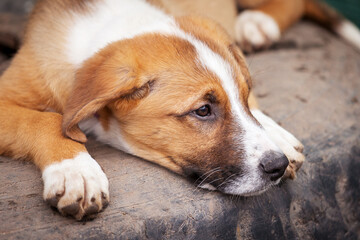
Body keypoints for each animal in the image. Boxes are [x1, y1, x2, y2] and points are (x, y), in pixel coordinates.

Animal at [3, 0, 344, 220]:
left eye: (245, 96)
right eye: (203, 110)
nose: (277, 165)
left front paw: (274, 131)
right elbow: (46, 121)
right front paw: (76, 170)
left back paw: (259, 22)